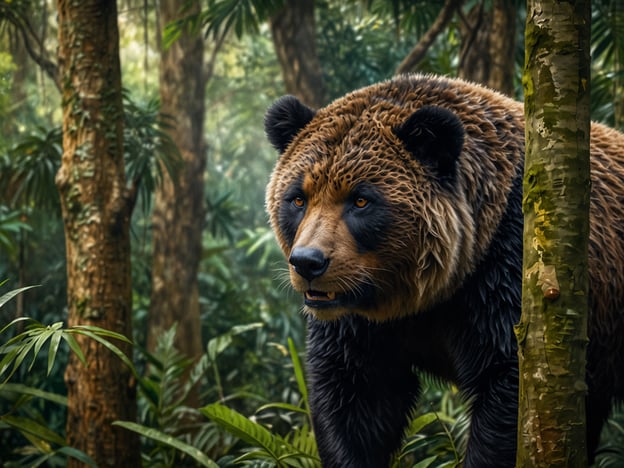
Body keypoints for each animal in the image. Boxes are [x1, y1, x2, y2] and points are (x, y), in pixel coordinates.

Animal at [262, 75, 624, 466]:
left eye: (360, 199)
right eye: (298, 198)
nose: (308, 262)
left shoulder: (507, 273)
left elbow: (509, 388)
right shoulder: (361, 322)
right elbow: (353, 398)